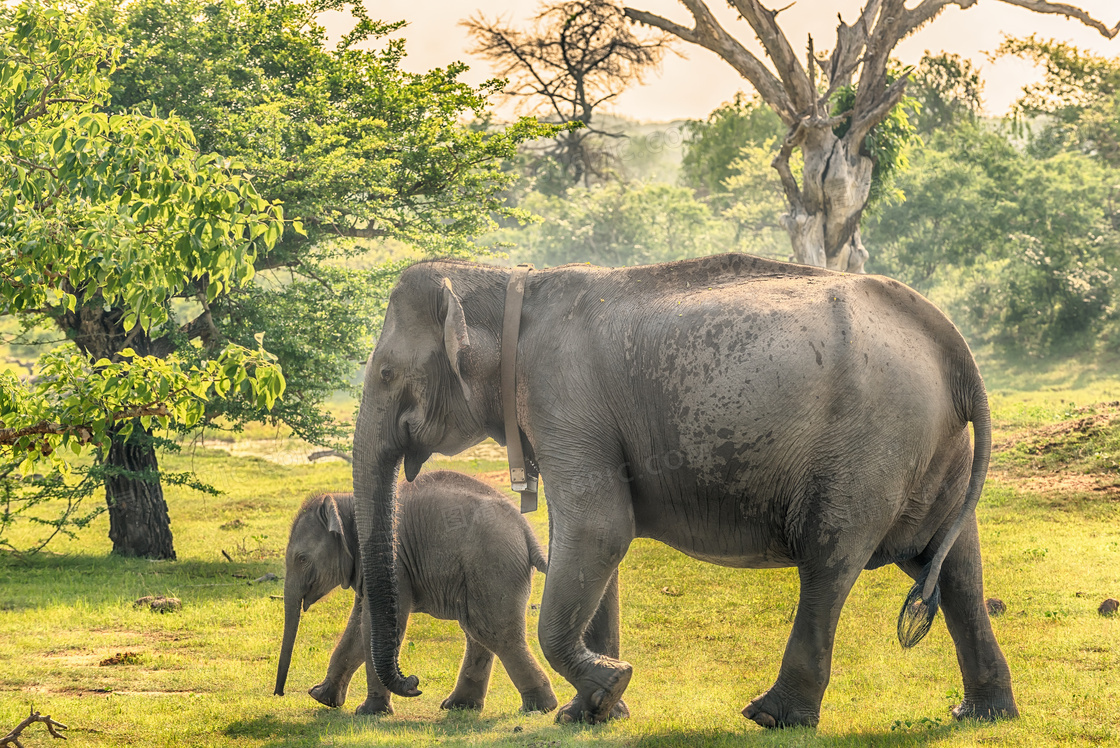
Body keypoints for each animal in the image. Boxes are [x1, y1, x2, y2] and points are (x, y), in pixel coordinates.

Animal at [275, 470, 555, 716]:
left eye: (301, 559)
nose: (279, 693)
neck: (348, 502)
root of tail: (527, 531)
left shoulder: (395, 566)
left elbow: (373, 625)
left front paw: (369, 712)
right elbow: (358, 627)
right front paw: (321, 697)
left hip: (492, 564)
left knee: (495, 633)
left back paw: (539, 707)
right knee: (477, 630)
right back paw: (459, 706)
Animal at [353, 254, 1021, 725]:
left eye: (385, 372)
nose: (412, 684)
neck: (509, 279)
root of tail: (952, 345)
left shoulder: (562, 396)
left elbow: (599, 529)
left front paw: (611, 684)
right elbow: (594, 543)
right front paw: (593, 712)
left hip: (871, 446)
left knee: (830, 560)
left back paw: (772, 716)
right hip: (934, 451)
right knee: (956, 568)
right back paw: (982, 713)